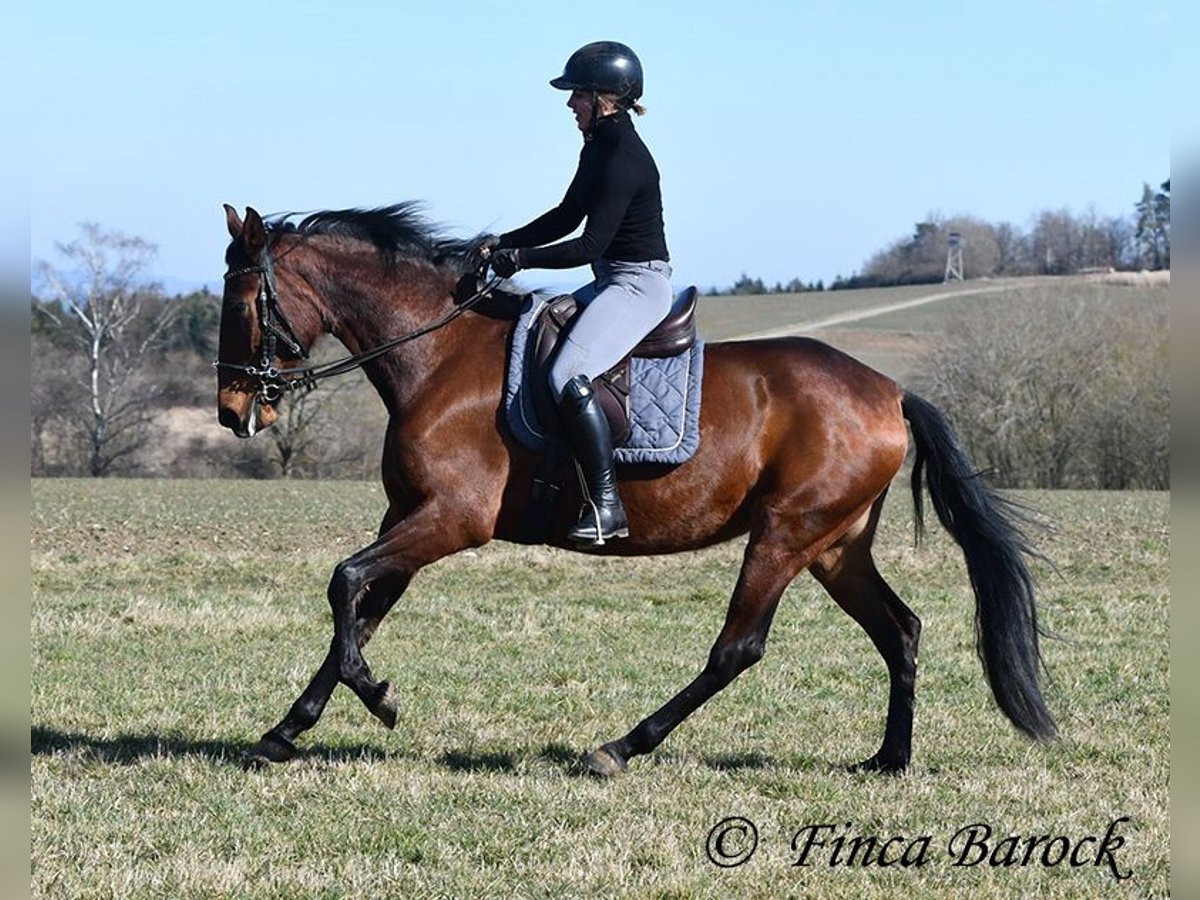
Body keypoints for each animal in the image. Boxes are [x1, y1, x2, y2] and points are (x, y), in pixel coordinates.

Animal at [218, 202, 1060, 777]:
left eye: (245, 303)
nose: (233, 411)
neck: (439, 352)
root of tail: (889, 391)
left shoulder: (452, 519)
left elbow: (346, 583)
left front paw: (378, 698)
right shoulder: (410, 515)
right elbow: (362, 607)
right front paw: (287, 730)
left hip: (786, 534)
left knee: (738, 649)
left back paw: (620, 746)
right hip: (835, 544)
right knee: (900, 630)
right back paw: (888, 759)